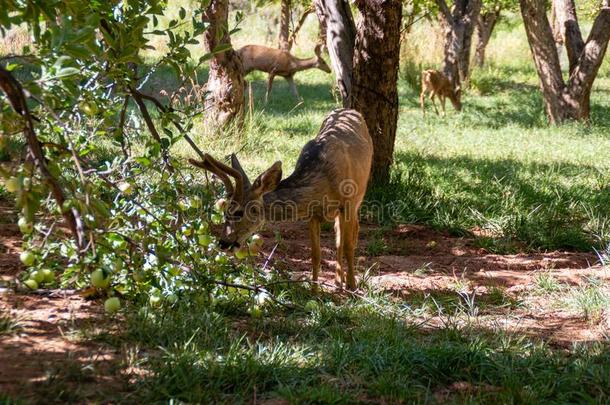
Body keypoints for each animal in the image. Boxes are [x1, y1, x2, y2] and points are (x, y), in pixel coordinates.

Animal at [189, 108, 370, 290]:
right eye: (225, 211)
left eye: (239, 212)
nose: (223, 243)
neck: (322, 182)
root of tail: (350, 110)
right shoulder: (312, 213)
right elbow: (316, 254)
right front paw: (314, 290)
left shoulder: (348, 204)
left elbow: (348, 246)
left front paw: (352, 286)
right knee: (338, 236)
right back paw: (338, 281)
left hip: (359, 194)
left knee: (351, 233)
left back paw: (345, 281)